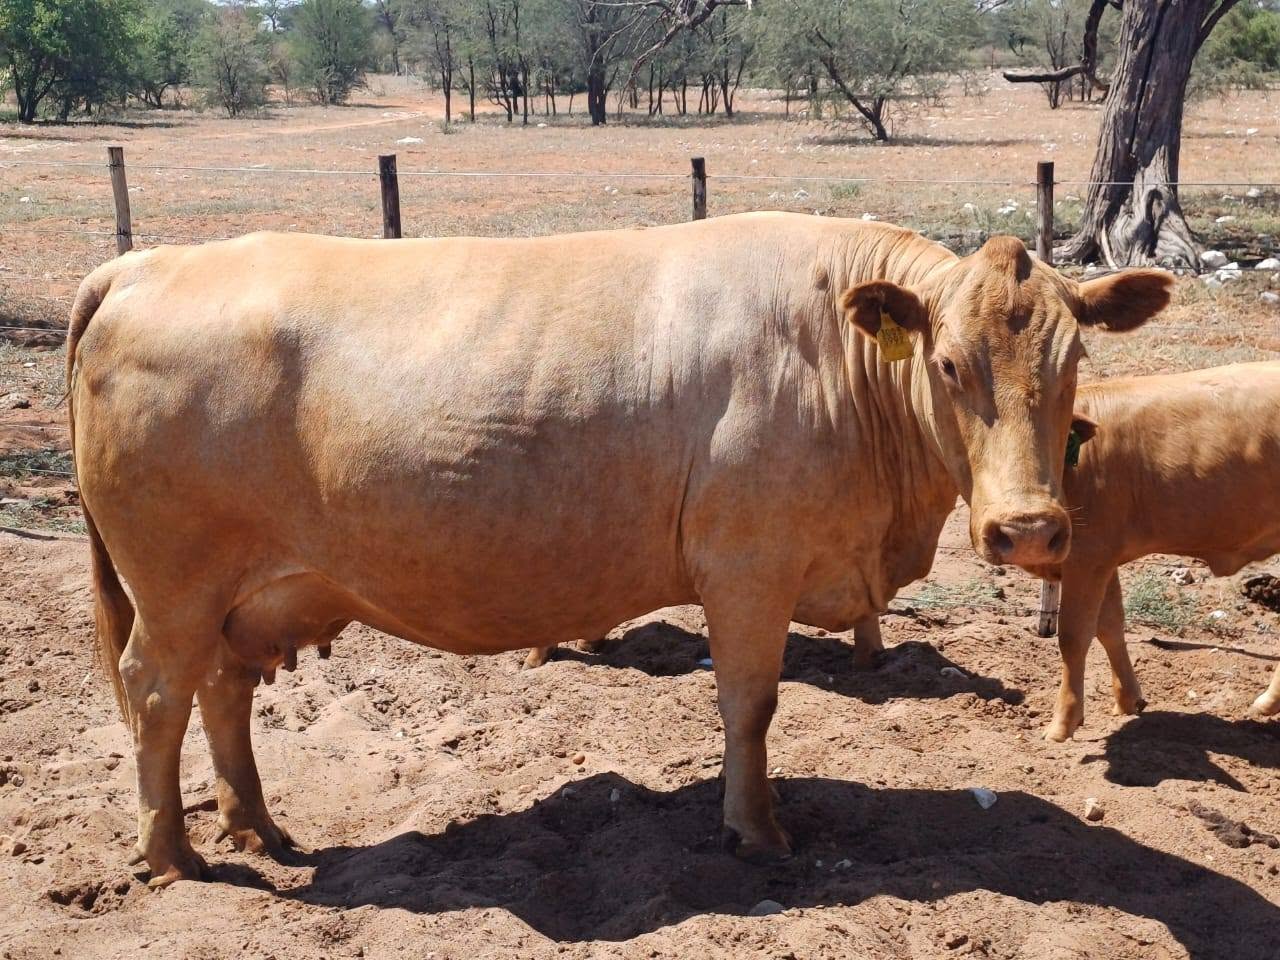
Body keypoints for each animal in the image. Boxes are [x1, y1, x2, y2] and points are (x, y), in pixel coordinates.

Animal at [66, 213, 1170, 886]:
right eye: (945, 364)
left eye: (1076, 361)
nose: (1028, 528)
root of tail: (141, 264)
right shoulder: (747, 569)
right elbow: (750, 706)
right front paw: (757, 829)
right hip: (173, 587)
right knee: (158, 695)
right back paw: (172, 853)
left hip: (238, 592)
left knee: (222, 693)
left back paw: (256, 824)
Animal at [1039, 362, 1280, 742]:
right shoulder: (1103, 557)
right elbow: (1110, 625)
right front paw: (1128, 701)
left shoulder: (1086, 555)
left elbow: (1074, 636)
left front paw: (1061, 726)